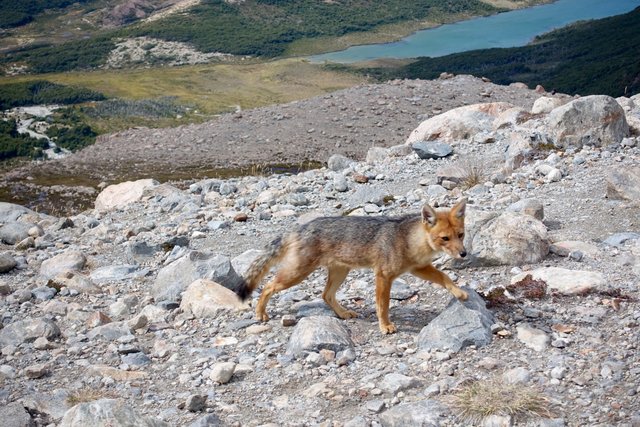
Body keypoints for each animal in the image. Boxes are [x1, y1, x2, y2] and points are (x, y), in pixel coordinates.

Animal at [235, 199, 470, 336]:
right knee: (268, 286)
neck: (408, 240)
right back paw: (260, 313)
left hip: (339, 272)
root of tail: (299, 228)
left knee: (325, 295)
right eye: (445, 238)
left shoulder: (418, 268)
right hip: (297, 274)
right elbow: (383, 305)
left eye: (461, 235)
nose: (463, 254)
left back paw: (343, 313)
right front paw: (385, 326)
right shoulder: (383, 276)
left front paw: (459, 292)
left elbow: (445, 277)